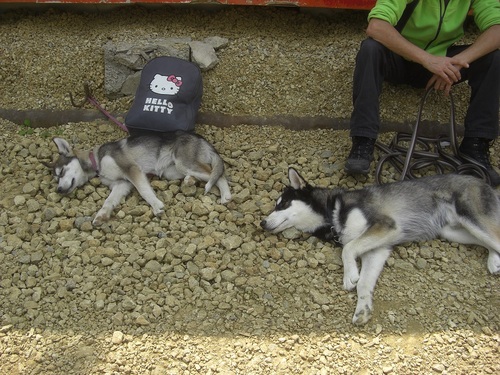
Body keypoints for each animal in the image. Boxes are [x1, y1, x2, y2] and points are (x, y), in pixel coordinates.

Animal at [44, 131, 231, 226]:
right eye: (56, 178)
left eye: (61, 172)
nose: (59, 190)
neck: (96, 160)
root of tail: (202, 139)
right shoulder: (122, 184)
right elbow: (108, 201)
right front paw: (101, 215)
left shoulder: (132, 170)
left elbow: (144, 191)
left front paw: (156, 205)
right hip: (171, 170)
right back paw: (189, 181)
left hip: (183, 163)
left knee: (217, 174)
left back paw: (226, 196)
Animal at [262, 168, 500, 326]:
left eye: (283, 204)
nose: (262, 223)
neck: (333, 211)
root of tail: (481, 180)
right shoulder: (376, 250)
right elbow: (364, 283)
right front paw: (363, 309)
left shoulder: (385, 227)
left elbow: (348, 249)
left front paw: (349, 275)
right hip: (454, 232)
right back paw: (493, 260)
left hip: (472, 219)